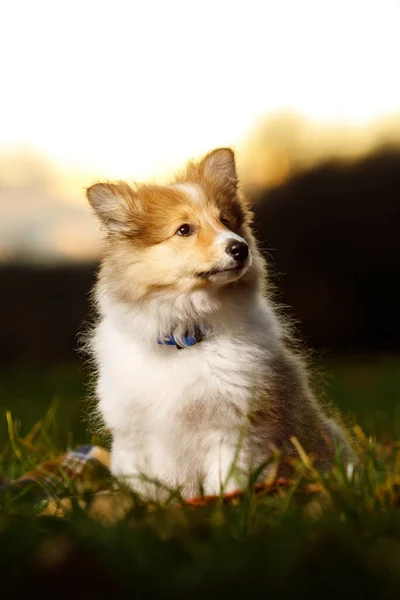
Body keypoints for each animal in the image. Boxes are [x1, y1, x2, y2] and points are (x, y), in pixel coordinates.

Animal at [86, 148, 354, 500]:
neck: (185, 336)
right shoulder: (135, 438)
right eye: (184, 229)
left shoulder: (233, 429)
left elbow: (226, 483)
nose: (240, 248)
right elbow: (143, 488)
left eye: (226, 221)